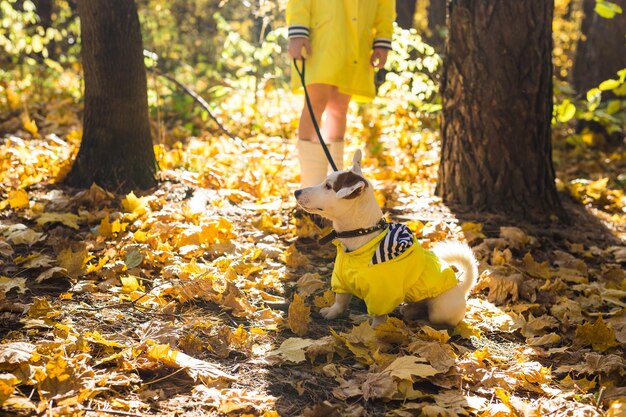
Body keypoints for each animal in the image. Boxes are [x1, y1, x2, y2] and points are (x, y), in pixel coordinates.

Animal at [294, 150, 478, 328]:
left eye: (328, 186)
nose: (296, 192)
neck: (358, 237)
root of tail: (462, 288)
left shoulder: (382, 294)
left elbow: (379, 317)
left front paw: (376, 332)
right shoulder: (341, 280)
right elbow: (340, 301)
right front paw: (332, 313)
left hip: (440, 309)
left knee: (441, 320)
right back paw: (409, 310)